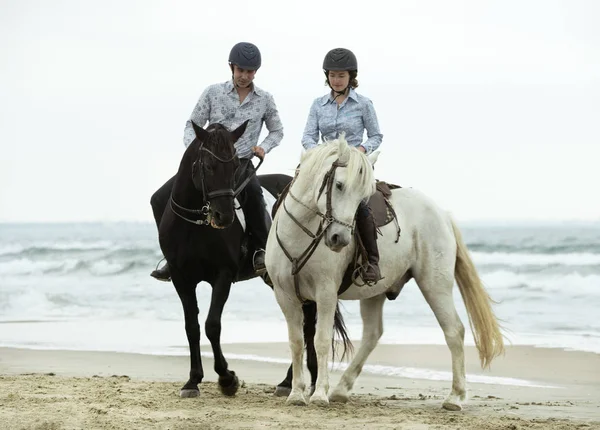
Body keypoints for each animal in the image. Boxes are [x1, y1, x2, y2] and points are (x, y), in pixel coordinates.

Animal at [159, 119, 350, 398]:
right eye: (208, 166)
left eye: (235, 167)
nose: (225, 216)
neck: (196, 224)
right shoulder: (181, 278)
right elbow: (191, 327)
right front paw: (192, 381)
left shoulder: (223, 274)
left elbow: (212, 324)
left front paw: (227, 379)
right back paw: (294, 381)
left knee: (306, 326)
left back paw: (294, 381)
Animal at [264, 137, 504, 410]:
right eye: (338, 185)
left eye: (363, 197)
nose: (340, 239)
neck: (300, 233)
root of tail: (442, 213)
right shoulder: (285, 296)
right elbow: (296, 342)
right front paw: (296, 394)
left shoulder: (325, 294)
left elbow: (321, 340)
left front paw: (319, 395)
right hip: (374, 292)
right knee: (373, 334)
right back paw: (341, 389)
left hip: (435, 284)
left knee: (454, 330)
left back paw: (455, 396)